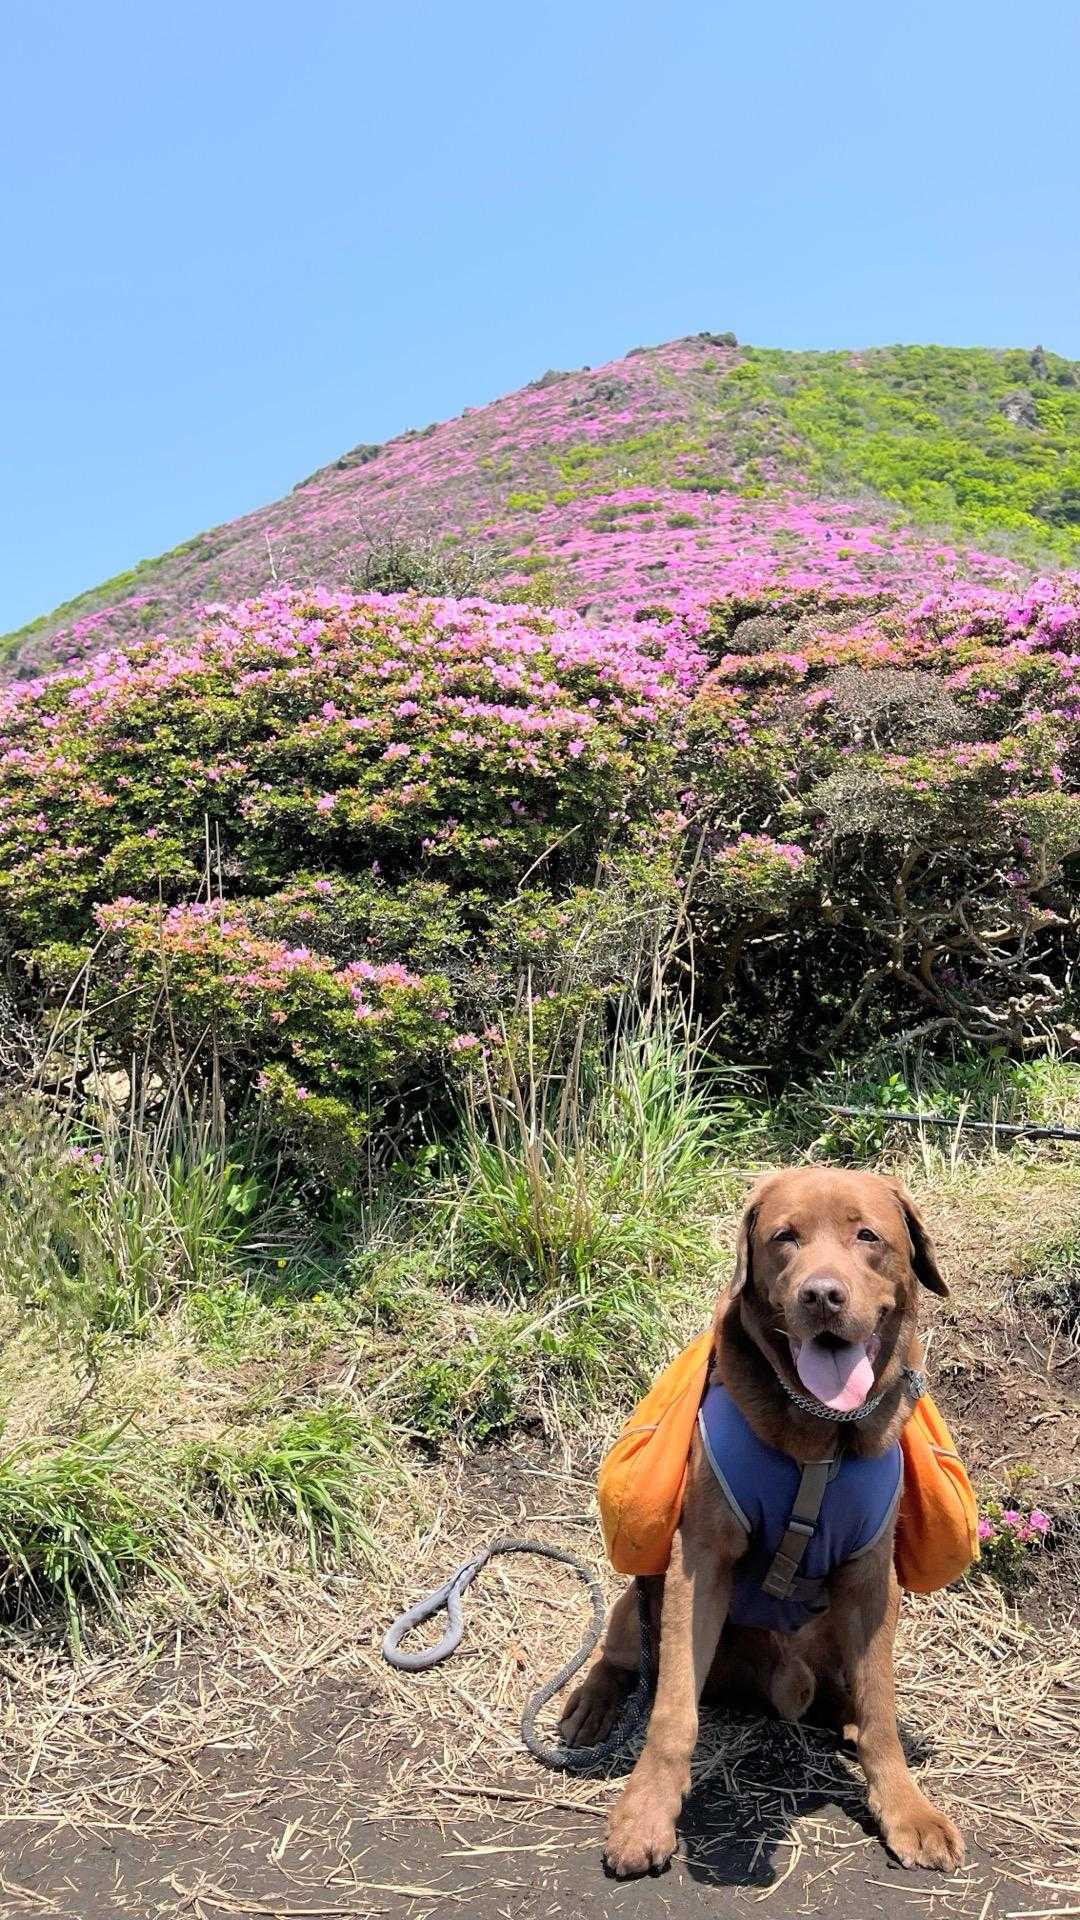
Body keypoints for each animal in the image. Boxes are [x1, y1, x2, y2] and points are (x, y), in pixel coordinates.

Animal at [560, 1166, 964, 1876]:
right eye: (784, 1237)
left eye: (868, 1236)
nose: (822, 1295)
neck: (819, 1440)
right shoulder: (699, 1564)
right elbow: (671, 1712)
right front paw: (646, 1812)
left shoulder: (872, 1581)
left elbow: (882, 1711)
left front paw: (905, 1809)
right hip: (640, 1603)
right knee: (622, 1655)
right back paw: (591, 1703)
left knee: (852, 1694)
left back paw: (846, 1716)